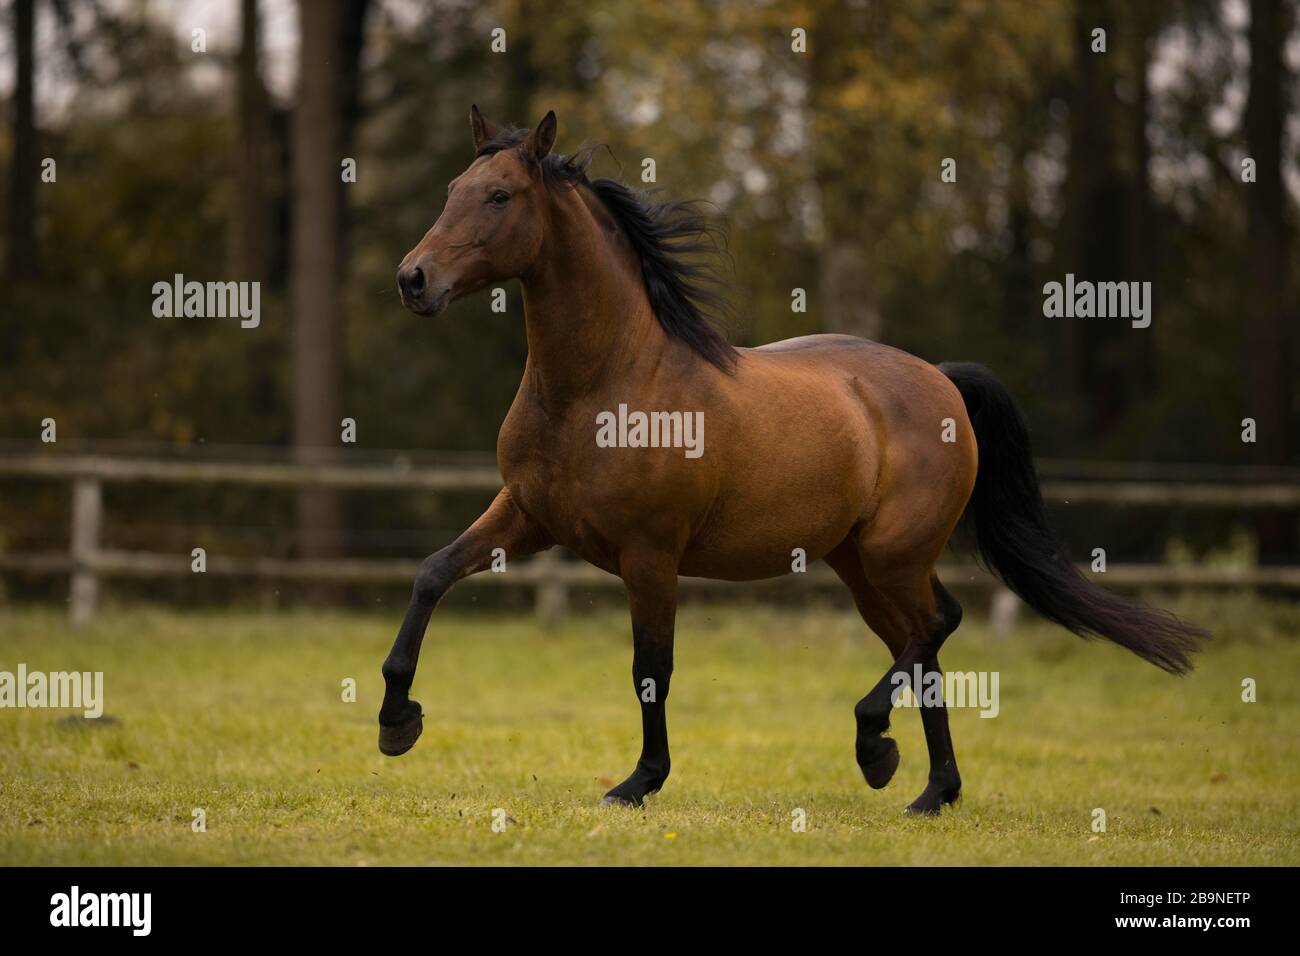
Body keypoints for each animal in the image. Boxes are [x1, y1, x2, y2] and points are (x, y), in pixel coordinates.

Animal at [379, 110, 1206, 816]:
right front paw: (397, 721)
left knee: (941, 622)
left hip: (894, 552)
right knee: (925, 645)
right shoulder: (527, 515)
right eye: (451, 190)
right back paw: (931, 790)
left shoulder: (650, 554)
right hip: (860, 564)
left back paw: (876, 747)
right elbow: (431, 573)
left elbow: (652, 669)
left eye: (499, 195)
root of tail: (942, 380)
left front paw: (639, 782)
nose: (412, 280)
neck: (602, 384)